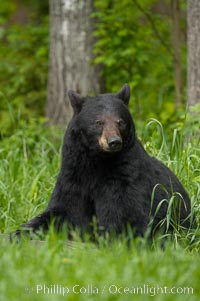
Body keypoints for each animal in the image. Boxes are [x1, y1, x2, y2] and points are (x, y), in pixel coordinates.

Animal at [14, 84, 192, 237]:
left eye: (120, 122)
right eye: (98, 122)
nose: (114, 141)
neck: (96, 162)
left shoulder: (124, 179)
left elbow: (122, 216)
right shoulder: (73, 177)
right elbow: (60, 211)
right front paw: (19, 232)